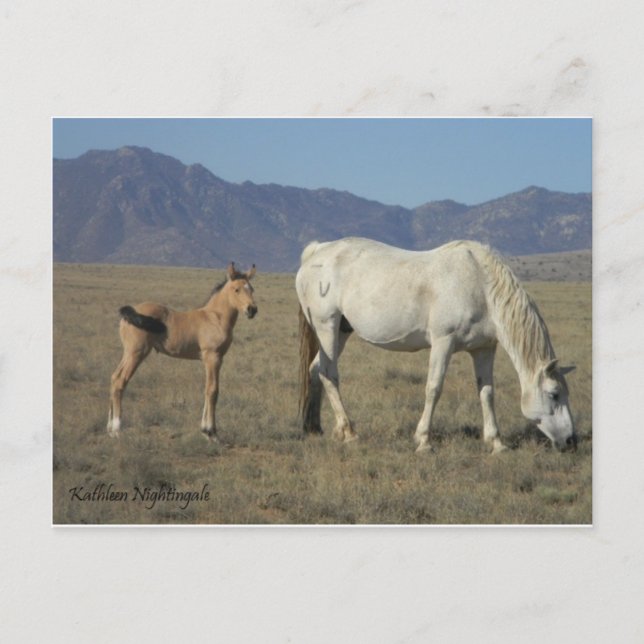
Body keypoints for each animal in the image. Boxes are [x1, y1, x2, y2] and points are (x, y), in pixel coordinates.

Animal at [107, 262, 257, 442]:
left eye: (252, 288)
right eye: (236, 289)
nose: (252, 309)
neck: (215, 318)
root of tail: (130, 313)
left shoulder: (216, 359)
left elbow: (207, 389)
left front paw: (204, 430)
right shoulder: (212, 357)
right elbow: (213, 390)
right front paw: (211, 432)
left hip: (129, 353)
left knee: (114, 377)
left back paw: (109, 428)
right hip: (136, 353)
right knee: (120, 381)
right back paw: (117, 429)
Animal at [296, 237, 576, 453]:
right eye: (554, 394)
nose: (571, 441)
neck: (480, 285)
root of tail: (316, 252)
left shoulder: (484, 349)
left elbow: (487, 392)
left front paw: (496, 443)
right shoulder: (443, 342)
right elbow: (434, 388)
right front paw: (423, 441)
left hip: (341, 331)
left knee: (315, 369)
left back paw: (315, 427)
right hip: (327, 327)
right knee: (328, 373)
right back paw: (349, 432)